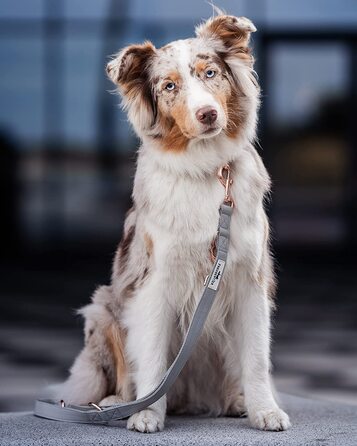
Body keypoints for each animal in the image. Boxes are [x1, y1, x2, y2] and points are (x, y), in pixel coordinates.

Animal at [57, 13, 290, 432]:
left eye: (210, 73)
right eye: (169, 86)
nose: (207, 114)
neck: (205, 169)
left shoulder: (250, 279)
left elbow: (256, 359)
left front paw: (265, 410)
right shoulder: (155, 282)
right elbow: (151, 359)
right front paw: (147, 414)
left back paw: (235, 401)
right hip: (103, 309)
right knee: (123, 375)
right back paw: (119, 403)